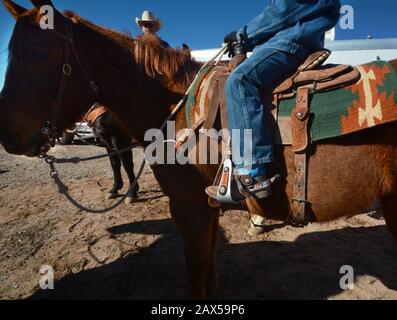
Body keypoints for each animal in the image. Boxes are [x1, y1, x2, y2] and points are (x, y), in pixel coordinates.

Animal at [0, 1, 396, 298]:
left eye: (38, 54)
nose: (8, 138)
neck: (173, 109)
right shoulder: (207, 207)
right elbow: (210, 265)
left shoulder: (188, 207)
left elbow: (196, 274)